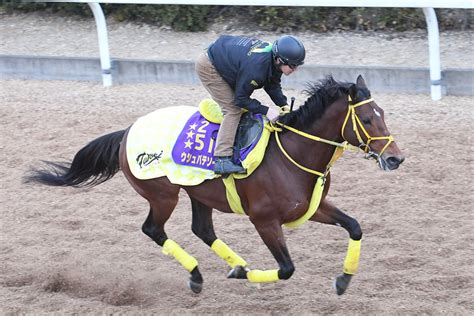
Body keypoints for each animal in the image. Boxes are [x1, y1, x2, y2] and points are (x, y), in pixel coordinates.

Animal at [25, 75, 404, 296]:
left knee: (202, 229)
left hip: (199, 192)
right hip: (163, 195)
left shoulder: (313, 208)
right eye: (367, 119)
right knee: (153, 229)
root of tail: (128, 131)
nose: (395, 158)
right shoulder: (264, 220)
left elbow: (354, 226)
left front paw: (343, 279)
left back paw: (235, 264)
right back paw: (198, 275)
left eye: (384, 114)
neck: (292, 154)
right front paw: (246, 277)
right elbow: (286, 269)